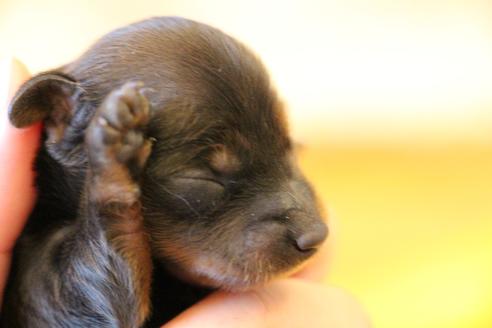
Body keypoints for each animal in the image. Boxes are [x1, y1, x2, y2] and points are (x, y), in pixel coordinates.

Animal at [2, 16, 330, 326]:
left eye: (290, 149)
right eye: (199, 177)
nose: (316, 234)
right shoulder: (44, 290)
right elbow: (87, 292)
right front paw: (115, 156)